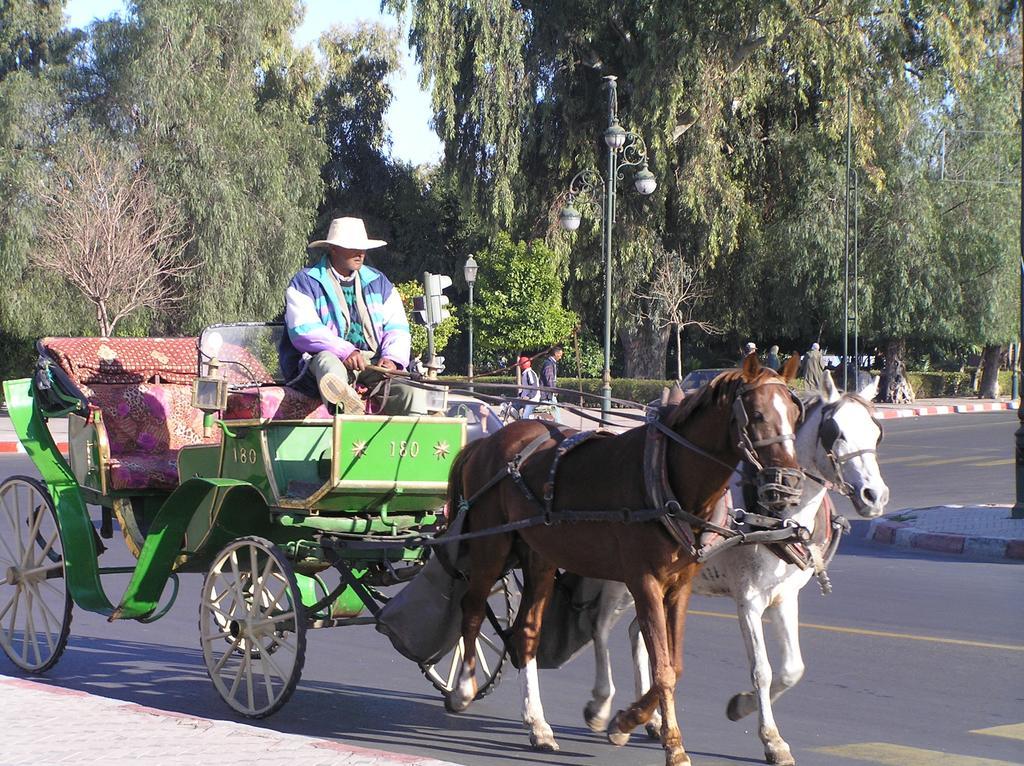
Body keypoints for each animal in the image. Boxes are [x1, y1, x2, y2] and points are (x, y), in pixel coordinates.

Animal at [444, 358, 802, 766]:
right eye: (757, 415)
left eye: (795, 415)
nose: (789, 483)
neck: (668, 475)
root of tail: (488, 441)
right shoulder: (644, 581)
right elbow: (662, 668)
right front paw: (671, 743)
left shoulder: (680, 585)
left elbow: (675, 665)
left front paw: (627, 720)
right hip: (491, 544)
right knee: (472, 608)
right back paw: (464, 688)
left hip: (540, 557)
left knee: (527, 632)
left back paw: (538, 724)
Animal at [585, 368, 888, 761]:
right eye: (835, 432)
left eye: (877, 433)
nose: (874, 496)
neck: (777, 516)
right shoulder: (750, 600)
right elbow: (761, 670)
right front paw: (771, 739)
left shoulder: (785, 595)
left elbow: (792, 669)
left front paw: (741, 706)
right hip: (623, 579)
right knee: (601, 626)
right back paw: (602, 705)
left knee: (638, 634)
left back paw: (646, 719)